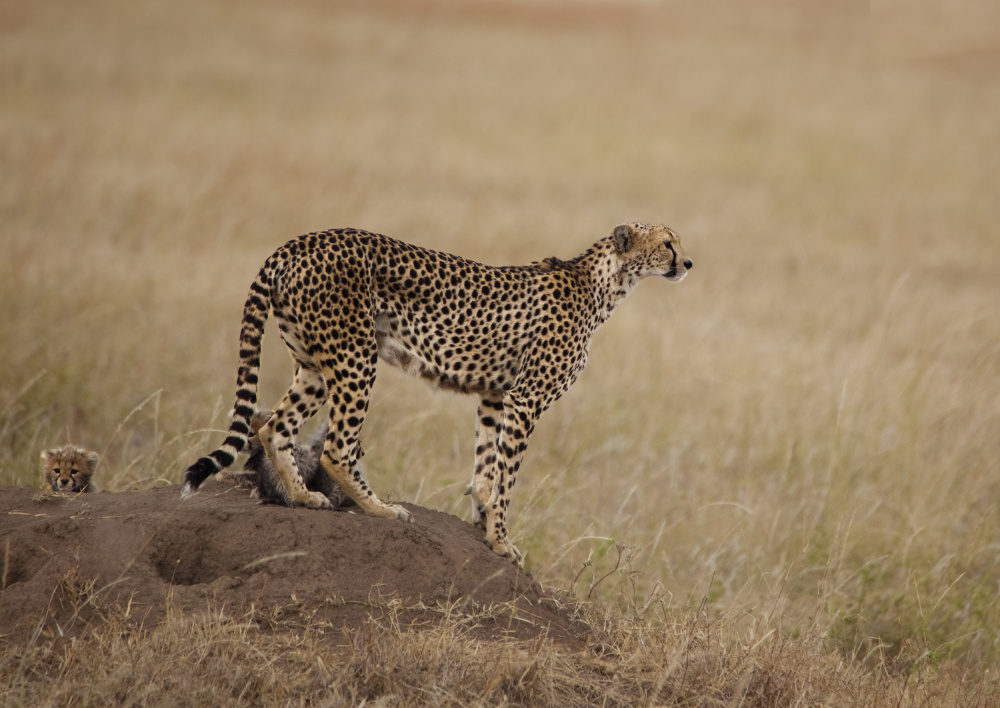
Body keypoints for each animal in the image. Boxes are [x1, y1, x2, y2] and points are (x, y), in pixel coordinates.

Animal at [184, 221, 692, 564]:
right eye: (668, 242)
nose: (687, 263)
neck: (603, 283)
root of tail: (298, 242)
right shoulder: (525, 400)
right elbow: (507, 477)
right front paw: (501, 541)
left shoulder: (496, 395)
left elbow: (486, 469)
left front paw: (483, 523)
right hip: (356, 356)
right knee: (336, 446)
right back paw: (382, 509)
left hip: (313, 365)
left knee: (274, 426)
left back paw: (305, 498)